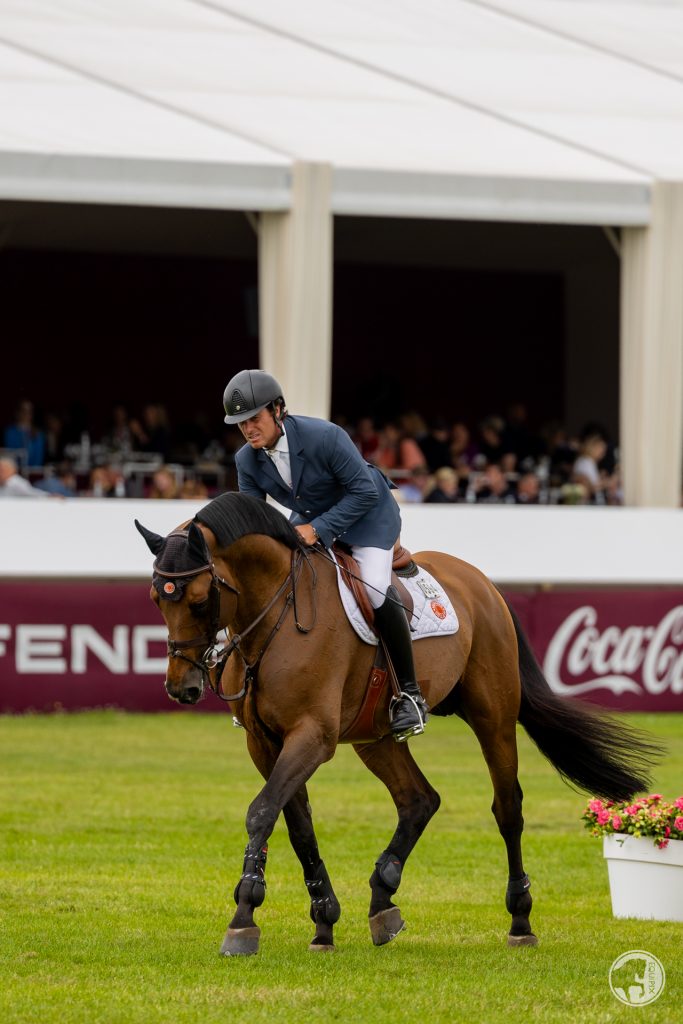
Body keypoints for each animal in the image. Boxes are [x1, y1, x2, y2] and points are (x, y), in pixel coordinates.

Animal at [136, 491, 659, 954]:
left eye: (199, 600)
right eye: (157, 600)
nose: (181, 687)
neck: (275, 616)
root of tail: (482, 583)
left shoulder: (313, 736)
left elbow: (262, 812)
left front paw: (244, 916)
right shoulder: (266, 744)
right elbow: (296, 823)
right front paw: (323, 919)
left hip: (492, 715)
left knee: (507, 808)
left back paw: (520, 919)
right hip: (376, 735)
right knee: (418, 800)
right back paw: (382, 898)